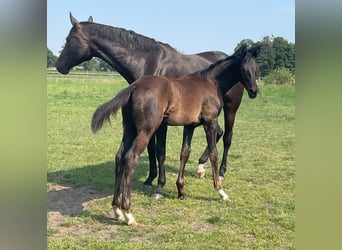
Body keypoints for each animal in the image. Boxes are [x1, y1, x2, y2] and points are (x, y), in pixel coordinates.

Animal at [55, 13, 246, 189]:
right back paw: (200, 167)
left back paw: (220, 172)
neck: (148, 62)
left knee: (227, 137)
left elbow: (159, 149)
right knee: (219, 132)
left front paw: (159, 183)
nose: (59, 65)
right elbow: (151, 148)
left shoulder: (161, 121)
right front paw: (150, 178)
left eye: (69, 39)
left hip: (231, 108)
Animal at [91, 46, 260, 225]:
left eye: (256, 69)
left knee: (119, 158)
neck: (211, 82)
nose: (254, 91)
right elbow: (214, 152)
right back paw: (128, 213)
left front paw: (181, 191)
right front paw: (220, 191)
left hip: (129, 130)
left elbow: (185, 153)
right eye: (244, 69)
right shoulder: (210, 121)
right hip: (146, 130)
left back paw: (117, 210)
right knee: (130, 158)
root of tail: (134, 87)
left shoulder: (190, 125)